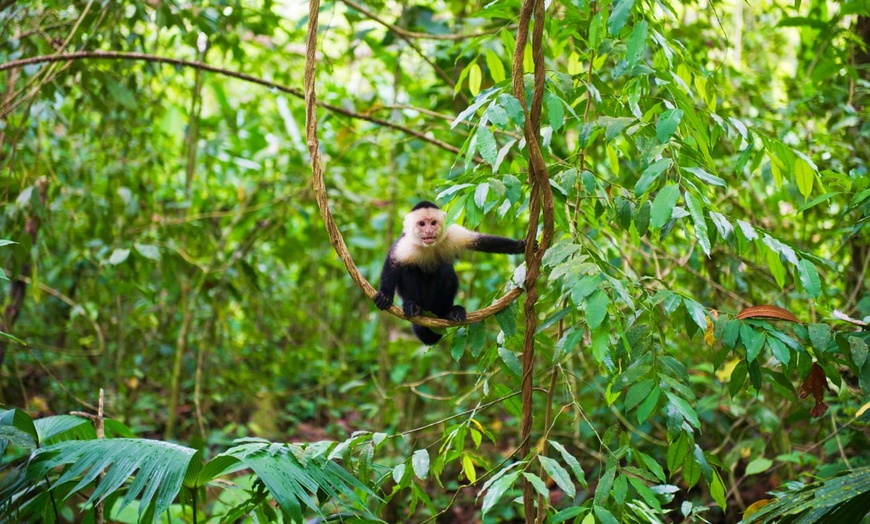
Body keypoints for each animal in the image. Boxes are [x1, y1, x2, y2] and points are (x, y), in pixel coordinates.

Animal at [372, 201, 528, 344]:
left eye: (433, 223)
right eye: (422, 224)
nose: (429, 231)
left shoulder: (452, 233)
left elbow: (482, 241)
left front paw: (518, 246)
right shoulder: (406, 244)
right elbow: (392, 262)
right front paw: (385, 295)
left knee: (446, 270)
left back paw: (449, 312)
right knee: (409, 268)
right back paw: (413, 306)